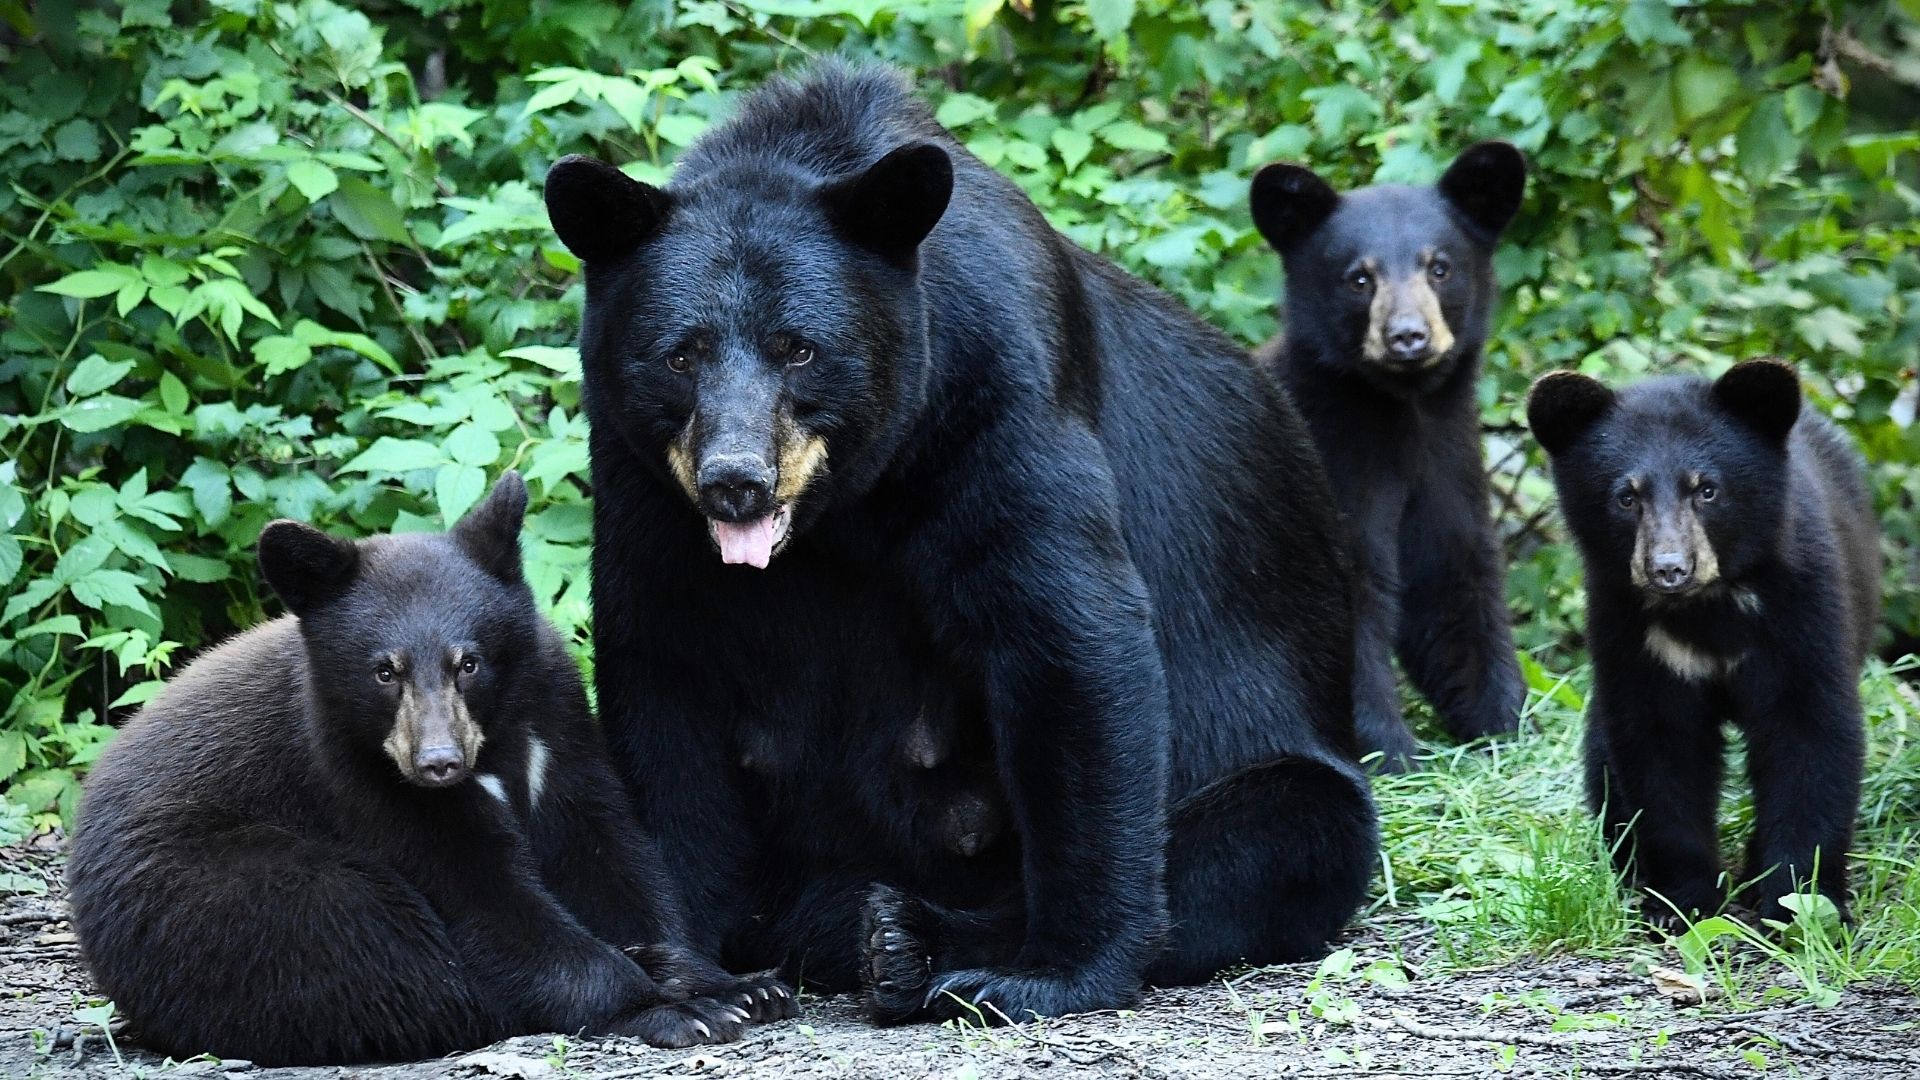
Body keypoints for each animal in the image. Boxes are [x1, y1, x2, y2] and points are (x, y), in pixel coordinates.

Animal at [65, 473, 794, 1066]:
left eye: (467, 661)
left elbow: (608, 856)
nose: (438, 764)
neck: (492, 747)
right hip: (219, 897)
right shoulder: (358, 779)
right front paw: (679, 1006)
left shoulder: (556, 725)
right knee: (374, 954)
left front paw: (733, 981)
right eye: (383, 671)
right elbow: (488, 906)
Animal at [541, 61, 1378, 1025]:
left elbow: (1065, 635)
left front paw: (1057, 969)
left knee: (1281, 832)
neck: (845, 502)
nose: (735, 479)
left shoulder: (996, 390)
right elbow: (665, 675)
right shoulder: (640, 474)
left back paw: (907, 941)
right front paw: (701, 983)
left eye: (799, 348)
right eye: (681, 354)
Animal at [1249, 143, 1530, 770]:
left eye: (1439, 267)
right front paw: (1392, 753)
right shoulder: (1332, 468)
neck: (1400, 414)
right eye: (1359, 278)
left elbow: (1452, 580)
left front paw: (1505, 723)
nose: (1408, 336)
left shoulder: (1447, 463)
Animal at [1526, 360, 1879, 925]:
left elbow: (1810, 735)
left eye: (1706, 489)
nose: (1669, 568)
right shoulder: (1630, 630)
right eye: (1627, 496)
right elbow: (1661, 750)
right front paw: (1683, 903)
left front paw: (1798, 902)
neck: (1707, 607)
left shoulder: (1802, 611)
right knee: (1603, 757)